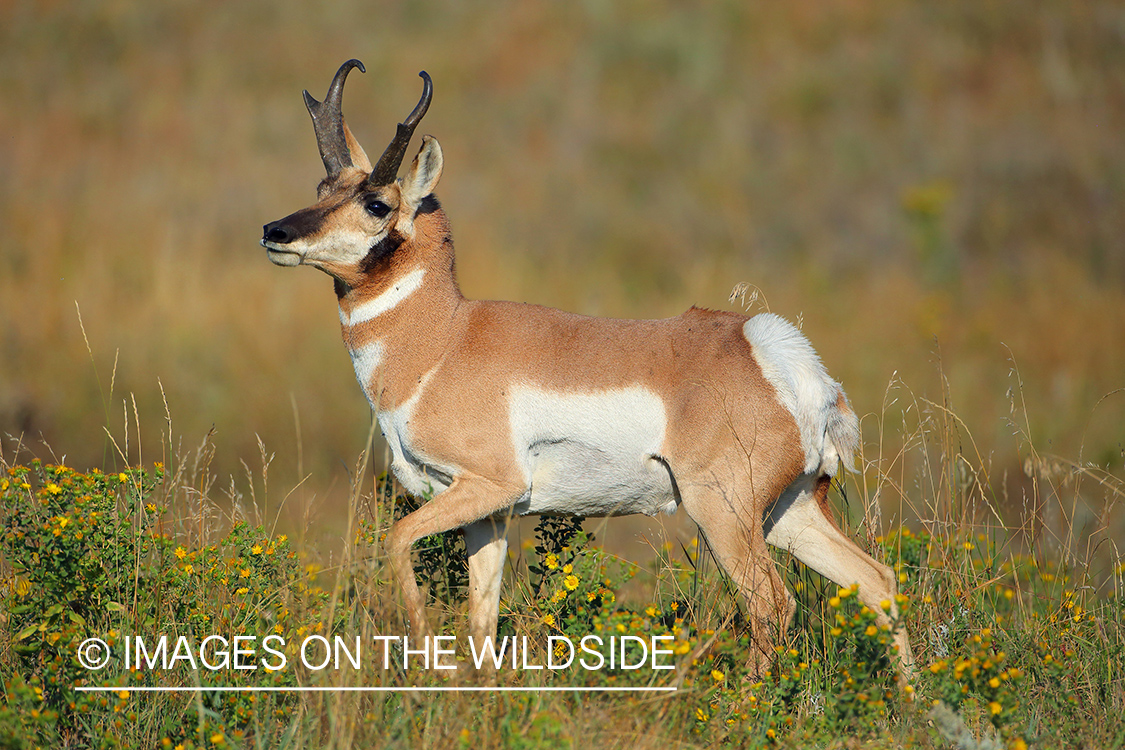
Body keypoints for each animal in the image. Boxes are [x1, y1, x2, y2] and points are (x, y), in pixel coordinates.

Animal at [261, 61, 913, 679]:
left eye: (376, 204)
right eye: (322, 186)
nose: (275, 230)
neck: (445, 339)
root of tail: (777, 356)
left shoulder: (488, 486)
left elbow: (397, 541)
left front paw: (430, 661)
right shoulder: (489, 515)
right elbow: (482, 618)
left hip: (722, 513)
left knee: (772, 604)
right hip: (789, 512)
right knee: (876, 581)